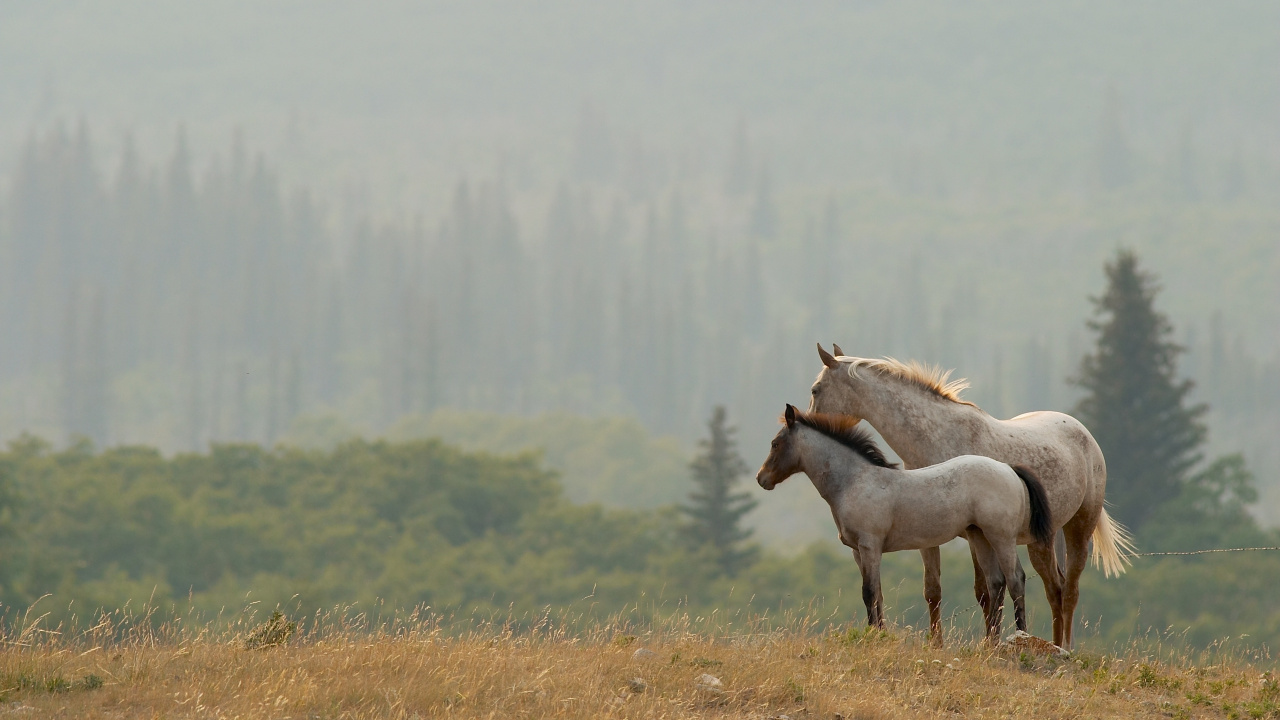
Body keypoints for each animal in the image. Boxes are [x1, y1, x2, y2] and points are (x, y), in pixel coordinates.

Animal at [757, 404, 1054, 641]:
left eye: (775, 444)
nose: (761, 479)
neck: (854, 481)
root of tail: (1008, 469)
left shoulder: (870, 546)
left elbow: (869, 592)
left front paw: (874, 637)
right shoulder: (858, 552)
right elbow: (877, 593)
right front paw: (879, 634)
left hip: (1001, 537)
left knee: (1015, 580)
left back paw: (1020, 638)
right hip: (979, 536)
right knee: (996, 583)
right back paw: (989, 644)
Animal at [808, 344, 1133, 648]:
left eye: (815, 389)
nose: (807, 422)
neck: (938, 437)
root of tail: (1083, 433)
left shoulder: (975, 535)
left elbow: (988, 591)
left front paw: (990, 641)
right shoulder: (932, 536)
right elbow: (935, 590)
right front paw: (939, 644)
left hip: (1074, 530)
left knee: (1065, 591)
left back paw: (1061, 647)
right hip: (1042, 539)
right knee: (1057, 587)